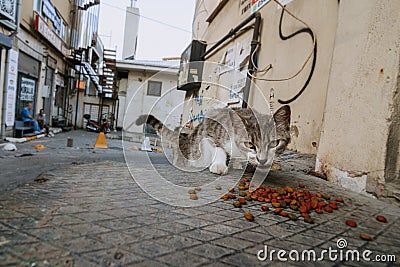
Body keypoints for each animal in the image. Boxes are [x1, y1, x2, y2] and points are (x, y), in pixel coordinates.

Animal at [135, 105, 290, 177]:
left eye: (275, 143)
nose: (262, 160)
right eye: (250, 144)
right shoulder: (210, 129)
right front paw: (219, 165)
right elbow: (218, 148)